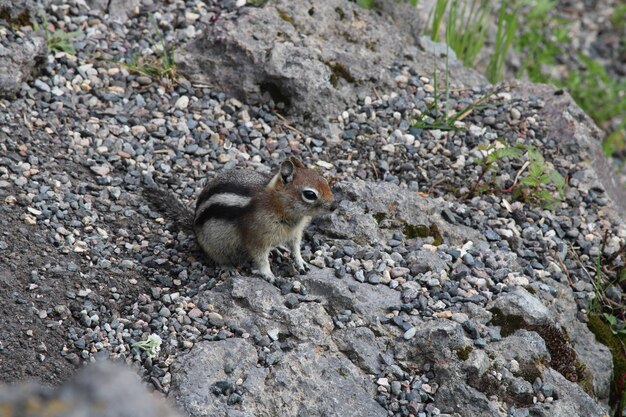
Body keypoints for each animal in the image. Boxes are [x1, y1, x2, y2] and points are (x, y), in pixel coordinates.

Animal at [144, 157, 334, 282]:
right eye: (310, 194)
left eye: (324, 180)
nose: (334, 206)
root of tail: (194, 226)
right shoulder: (256, 237)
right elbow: (260, 258)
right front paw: (268, 274)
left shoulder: (295, 233)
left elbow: (295, 248)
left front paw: (301, 262)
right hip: (214, 244)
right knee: (217, 257)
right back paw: (228, 268)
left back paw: (277, 248)